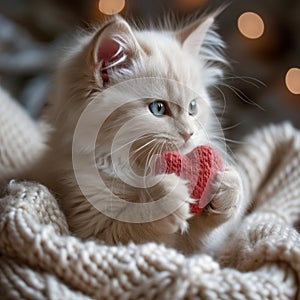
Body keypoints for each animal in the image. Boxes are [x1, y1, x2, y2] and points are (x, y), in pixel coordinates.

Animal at [30, 13, 250, 253]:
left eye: (192, 108)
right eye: (158, 108)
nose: (189, 133)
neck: (136, 169)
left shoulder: (195, 248)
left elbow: (203, 236)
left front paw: (227, 186)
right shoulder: (87, 228)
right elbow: (133, 222)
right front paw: (165, 195)